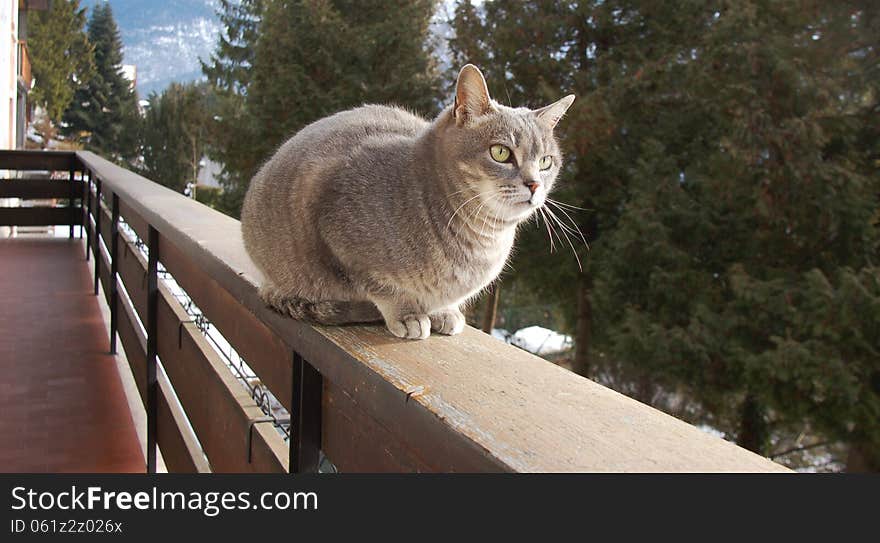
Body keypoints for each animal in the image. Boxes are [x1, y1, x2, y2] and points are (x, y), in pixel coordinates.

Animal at [242, 66, 572, 340]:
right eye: (501, 153)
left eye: (545, 162)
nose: (534, 184)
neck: (479, 237)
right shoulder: (340, 239)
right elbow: (383, 288)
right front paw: (408, 314)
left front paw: (443, 312)